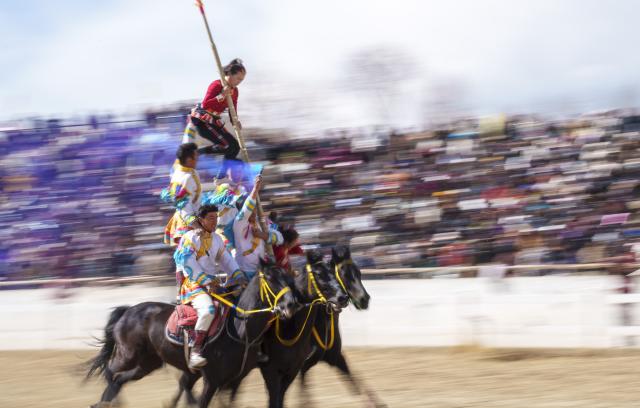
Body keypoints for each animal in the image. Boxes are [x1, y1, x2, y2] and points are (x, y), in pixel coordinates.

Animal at [85, 258, 298, 408]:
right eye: (270, 278)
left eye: (289, 278)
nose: (290, 304)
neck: (240, 330)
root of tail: (128, 311)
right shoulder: (211, 380)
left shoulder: (233, 380)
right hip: (128, 355)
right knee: (110, 371)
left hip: (147, 363)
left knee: (120, 379)